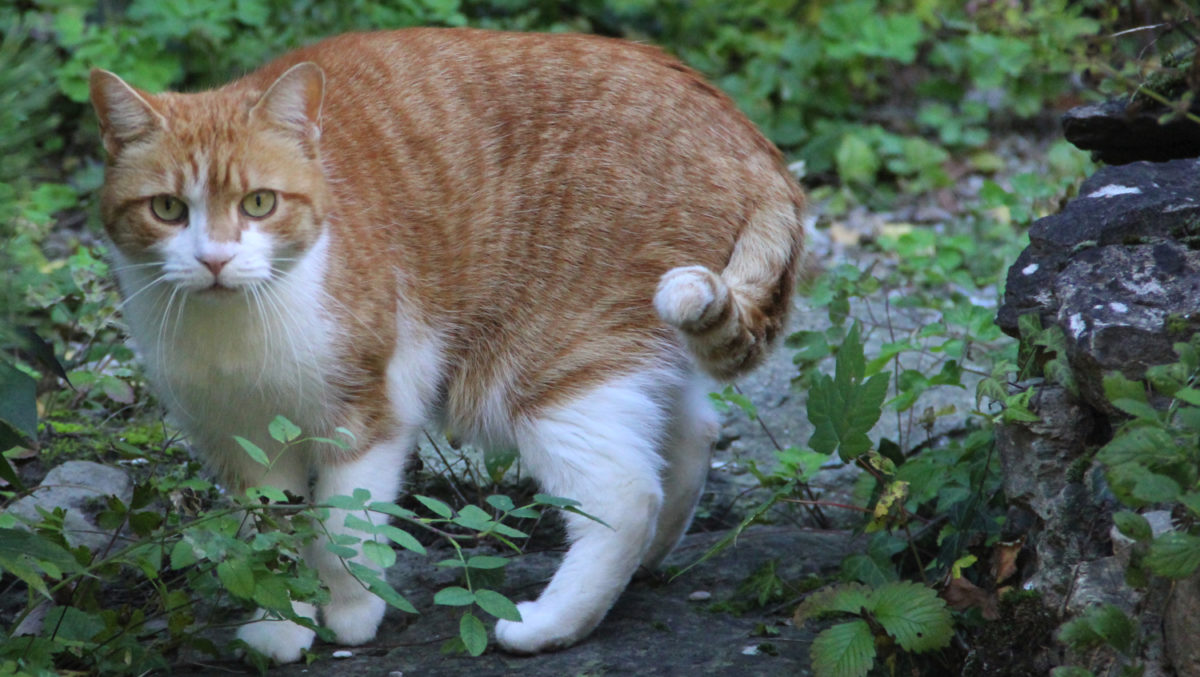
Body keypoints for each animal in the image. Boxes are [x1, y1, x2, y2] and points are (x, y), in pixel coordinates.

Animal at [87, 26, 806, 662]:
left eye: (259, 203)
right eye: (168, 210)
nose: (214, 260)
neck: (237, 330)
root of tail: (747, 135)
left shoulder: (369, 414)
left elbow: (345, 529)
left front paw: (351, 611)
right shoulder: (243, 444)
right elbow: (267, 547)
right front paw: (281, 626)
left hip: (554, 360)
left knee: (626, 494)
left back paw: (549, 623)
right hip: (633, 354)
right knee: (690, 437)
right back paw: (648, 564)